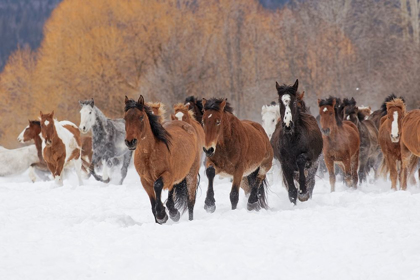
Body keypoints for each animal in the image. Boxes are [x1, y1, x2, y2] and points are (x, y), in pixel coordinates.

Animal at [123, 95, 202, 224]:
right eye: (125, 118)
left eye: (141, 117)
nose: (130, 141)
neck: (149, 154)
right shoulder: (145, 180)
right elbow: (153, 203)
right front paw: (160, 217)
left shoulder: (167, 175)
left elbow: (158, 185)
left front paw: (162, 214)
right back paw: (173, 212)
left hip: (191, 173)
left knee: (191, 202)